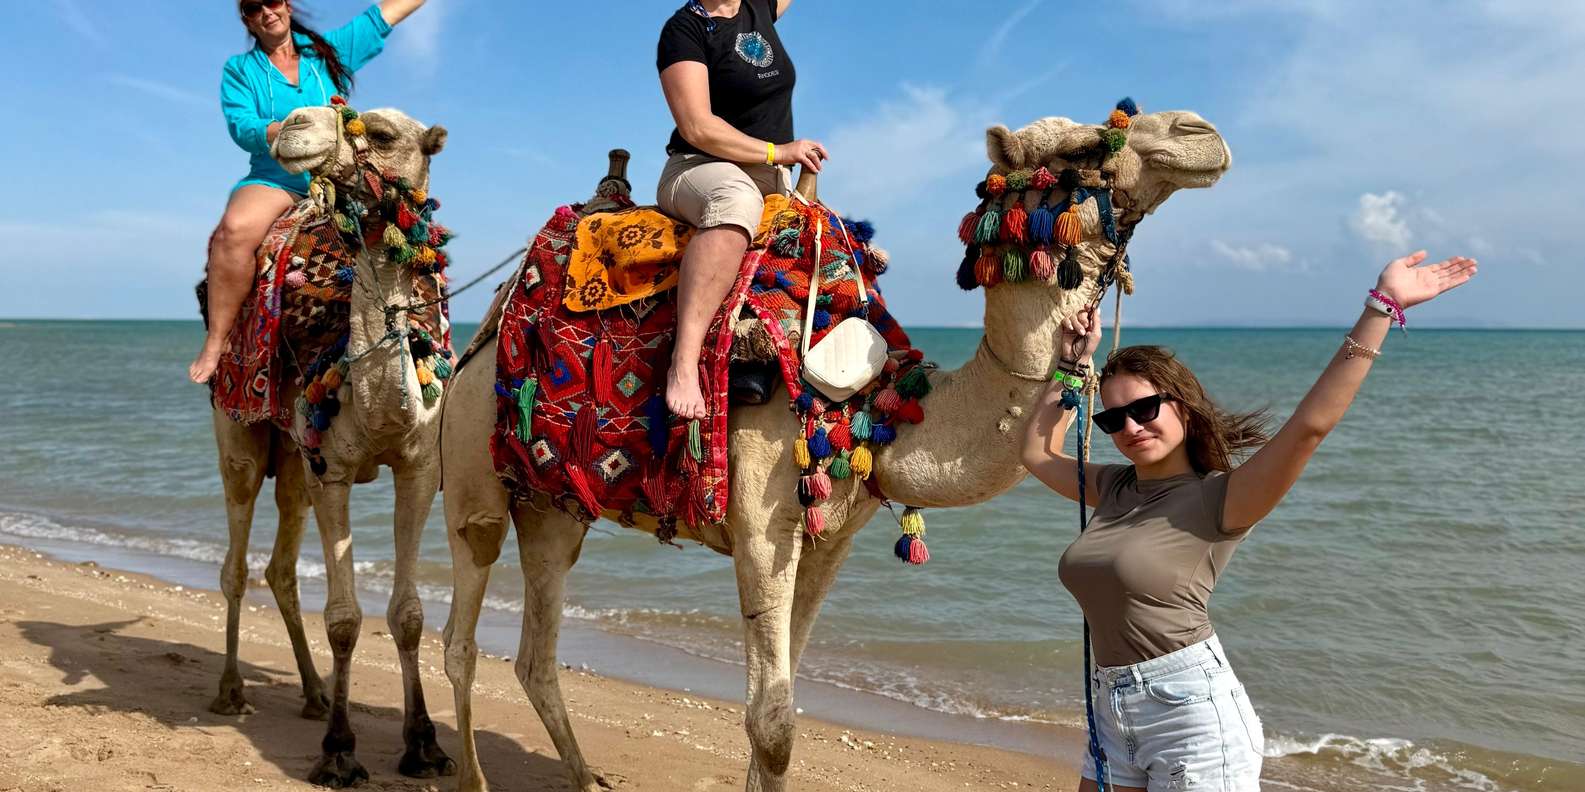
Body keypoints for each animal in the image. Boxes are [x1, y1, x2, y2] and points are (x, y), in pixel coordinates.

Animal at [208, 104, 455, 787]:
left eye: (385, 135)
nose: (295, 124)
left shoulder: (418, 468)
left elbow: (408, 615)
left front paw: (424, 744)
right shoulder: (335, 473)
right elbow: (344, 619)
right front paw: (340, 750)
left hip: (295, 461)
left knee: (280, 568)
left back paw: (315, 693)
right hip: (241, 438)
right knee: (237, 564)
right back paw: (231, 690)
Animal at [438, 106, 1231, 792]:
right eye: (1078, 147)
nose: (1201, 132)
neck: (878, 411)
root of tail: (481, 337)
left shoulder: (830, 540)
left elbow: (777, 710)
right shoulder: (760, 527)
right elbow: (773, 722)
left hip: (553, 506)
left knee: (536, 654)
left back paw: (583, 778)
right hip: (474, 471)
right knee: (460, 632)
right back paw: (471, 775)